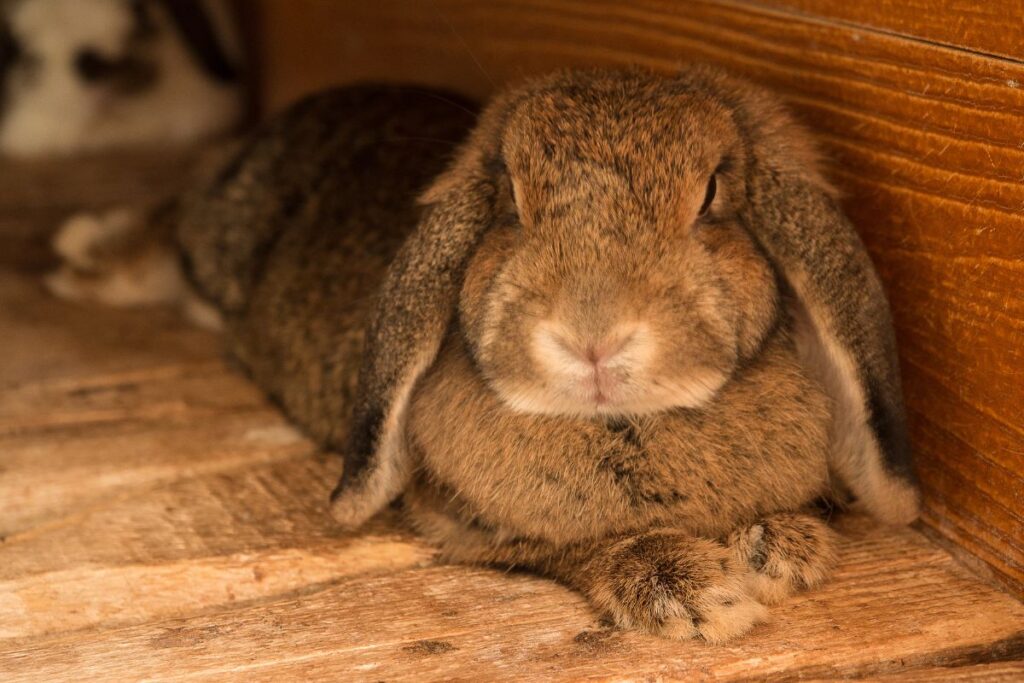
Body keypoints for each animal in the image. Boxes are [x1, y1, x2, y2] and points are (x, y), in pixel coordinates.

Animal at [46, 66, 920, 642]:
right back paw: (79, 252)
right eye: (510, 204)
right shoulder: (459, 517)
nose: (591, 336)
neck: (626, 423)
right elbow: (571, 545)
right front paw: (695, 589)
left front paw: (785, 545)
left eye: (711, 197)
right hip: (221, 236)